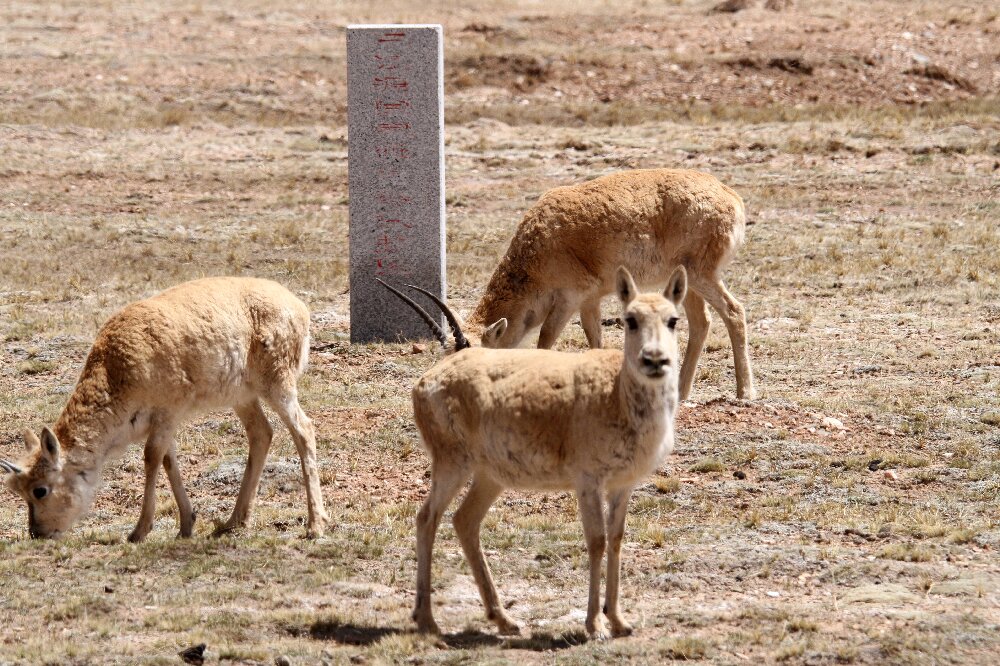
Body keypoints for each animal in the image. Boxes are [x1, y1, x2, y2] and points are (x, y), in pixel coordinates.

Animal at [0, 274, 328, 540]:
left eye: (40, 490)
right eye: (17, 489)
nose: (37, 533)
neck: (116, 368)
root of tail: (299, 306)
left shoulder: (168, 411)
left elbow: (152, 457)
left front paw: (139, 531)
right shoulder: (162, 422)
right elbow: (169, 459)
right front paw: (186, 525)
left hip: (278, 384)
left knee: (304, 429)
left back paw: (315, 525)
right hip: (242, 397)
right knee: (262, 433)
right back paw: (233, 521)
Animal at [380, 264, 688, 640]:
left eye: (673, 319)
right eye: (630, 319)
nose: (655, 360)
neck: (617, 394)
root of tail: (427, 380)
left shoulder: (622, 485)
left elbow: (616, 539)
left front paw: (618, 621)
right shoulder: (587, 482)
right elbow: (596, 540)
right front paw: (595, 625)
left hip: (490, 477)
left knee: (464, 520)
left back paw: (504, 619)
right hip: (452, 464)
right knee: (427, 517)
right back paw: (427, 619)